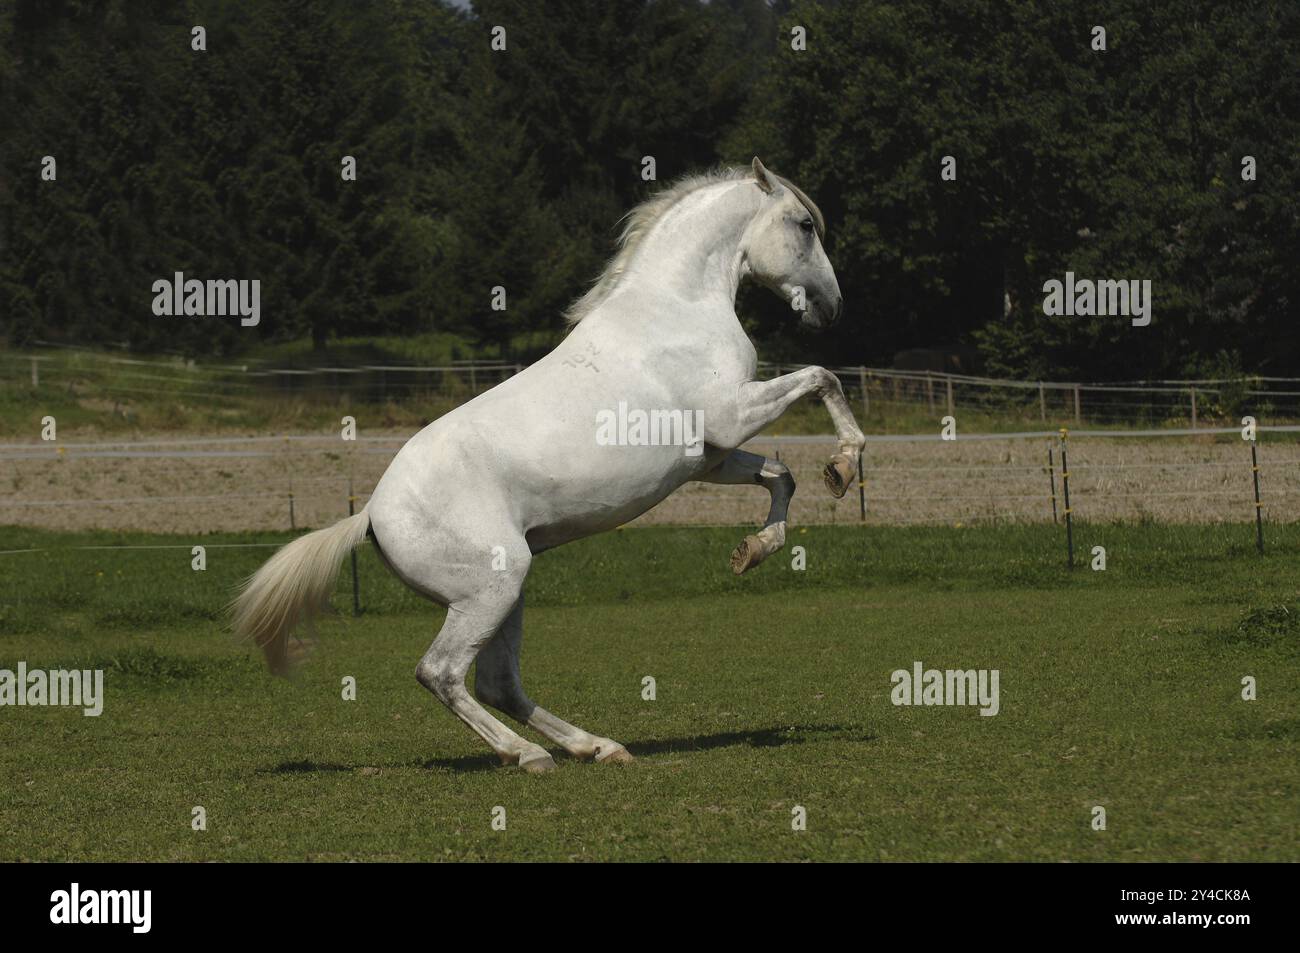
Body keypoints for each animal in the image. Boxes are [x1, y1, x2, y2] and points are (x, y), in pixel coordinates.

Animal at [232, 158, 866, 772]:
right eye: (804, 225)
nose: (833, 308)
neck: (676, 310)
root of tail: (369, 517)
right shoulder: (731, 416)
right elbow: (822, 377)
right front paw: (844, 465)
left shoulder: (710, 457)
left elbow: (781, 475)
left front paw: (753, 550)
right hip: (492, 590)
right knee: (442, 674)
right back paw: (530, 756)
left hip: (505, 593)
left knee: (498, 684)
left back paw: (597, 747)